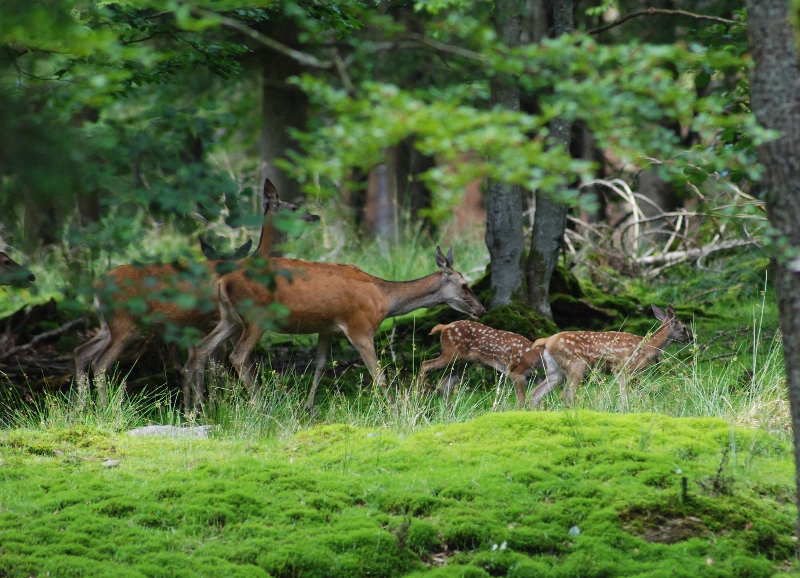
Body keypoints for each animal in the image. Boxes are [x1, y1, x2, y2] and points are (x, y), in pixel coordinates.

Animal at [72, 178, 316, 408]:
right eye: (294, 207)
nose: (313, 216)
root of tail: (97, 285)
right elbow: (224, 366)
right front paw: (216, 407)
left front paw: (205, 407)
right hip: (125, 322)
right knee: (100, 362)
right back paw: (106, 408)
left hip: (108, 324)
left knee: (81, 352)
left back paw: (82, 406)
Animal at [188, 244, 488, 410]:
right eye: (465, 285)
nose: (482, 310)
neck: (384, 300)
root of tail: (222, 281)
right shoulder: (360, 327)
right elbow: (378, 374)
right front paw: (394, 409)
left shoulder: (327, 329)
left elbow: (321, 365)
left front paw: (309, 407)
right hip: (256, 316)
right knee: (237, 356)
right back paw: (261, 405)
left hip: (229, 317)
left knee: (200, 348)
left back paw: (198, 407)